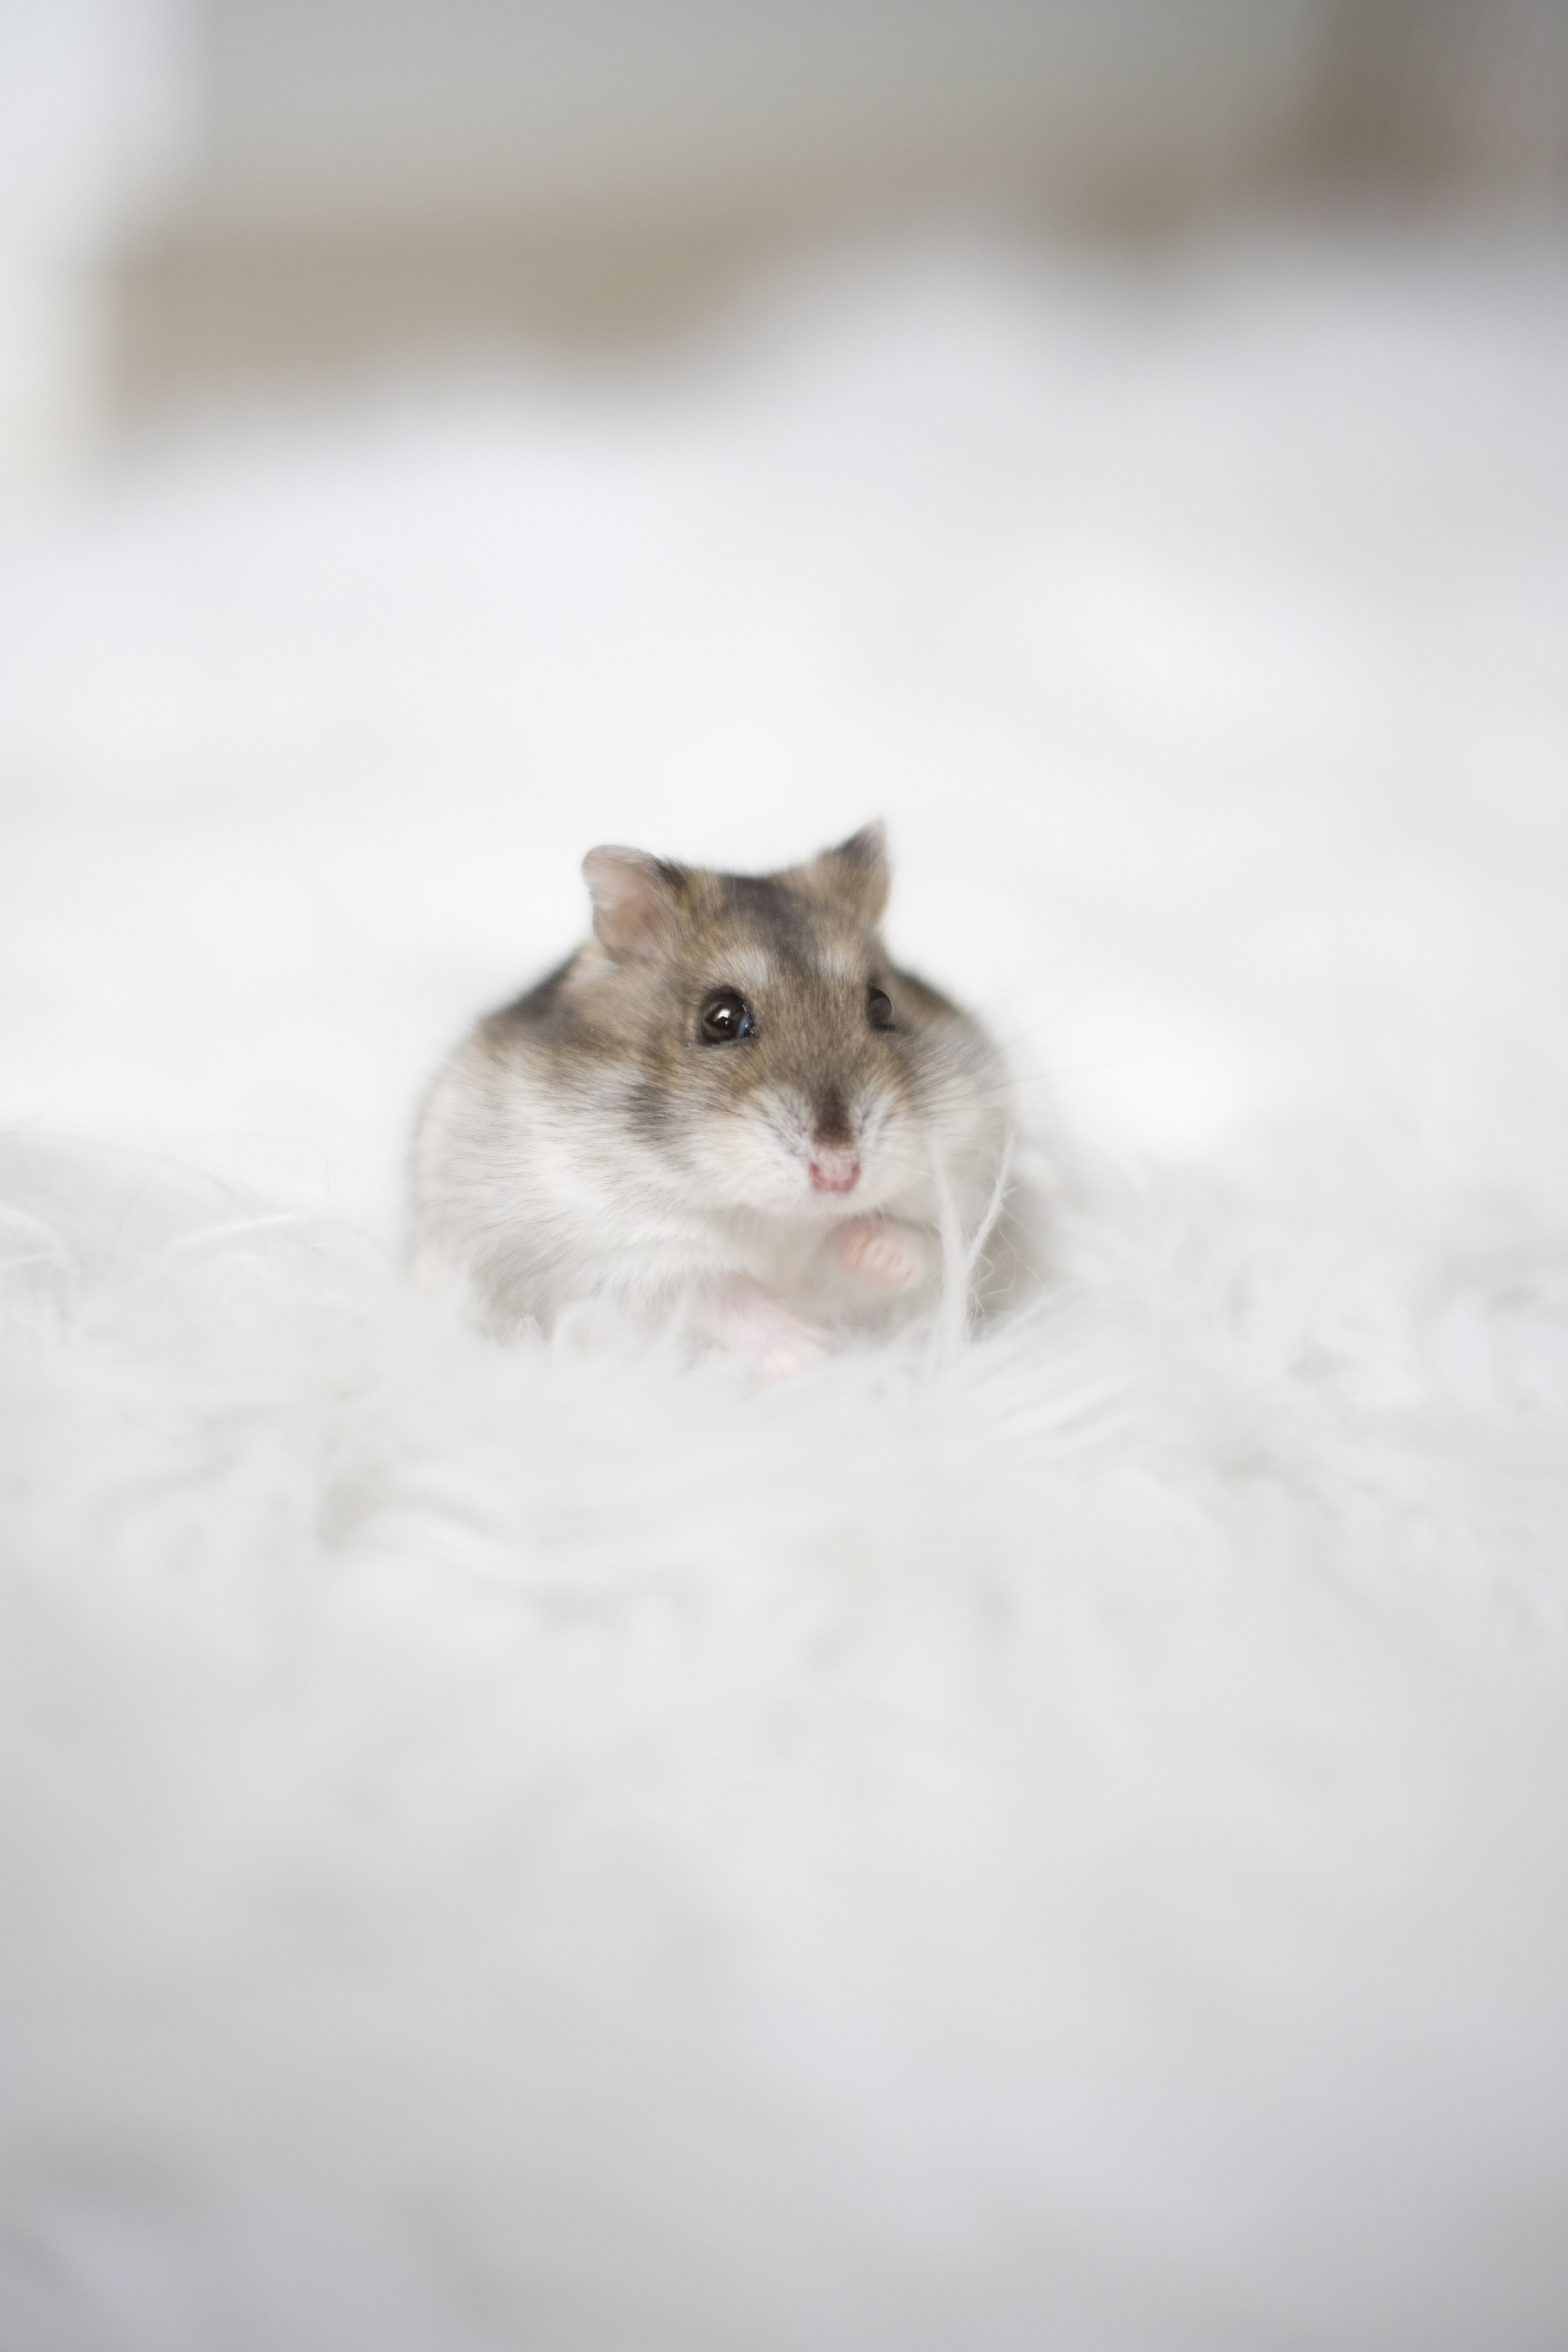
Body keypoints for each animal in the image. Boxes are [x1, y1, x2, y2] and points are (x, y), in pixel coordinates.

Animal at [411, 833, 1029, 1374]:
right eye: (722, 1019)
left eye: (882, 1005)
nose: (839, 1174)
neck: (775, 1217)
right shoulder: (614, 1261)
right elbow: (713, 1291)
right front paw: (809, 1352)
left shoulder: (973, 1198)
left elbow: (920, 1244)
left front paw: (860, 1247)